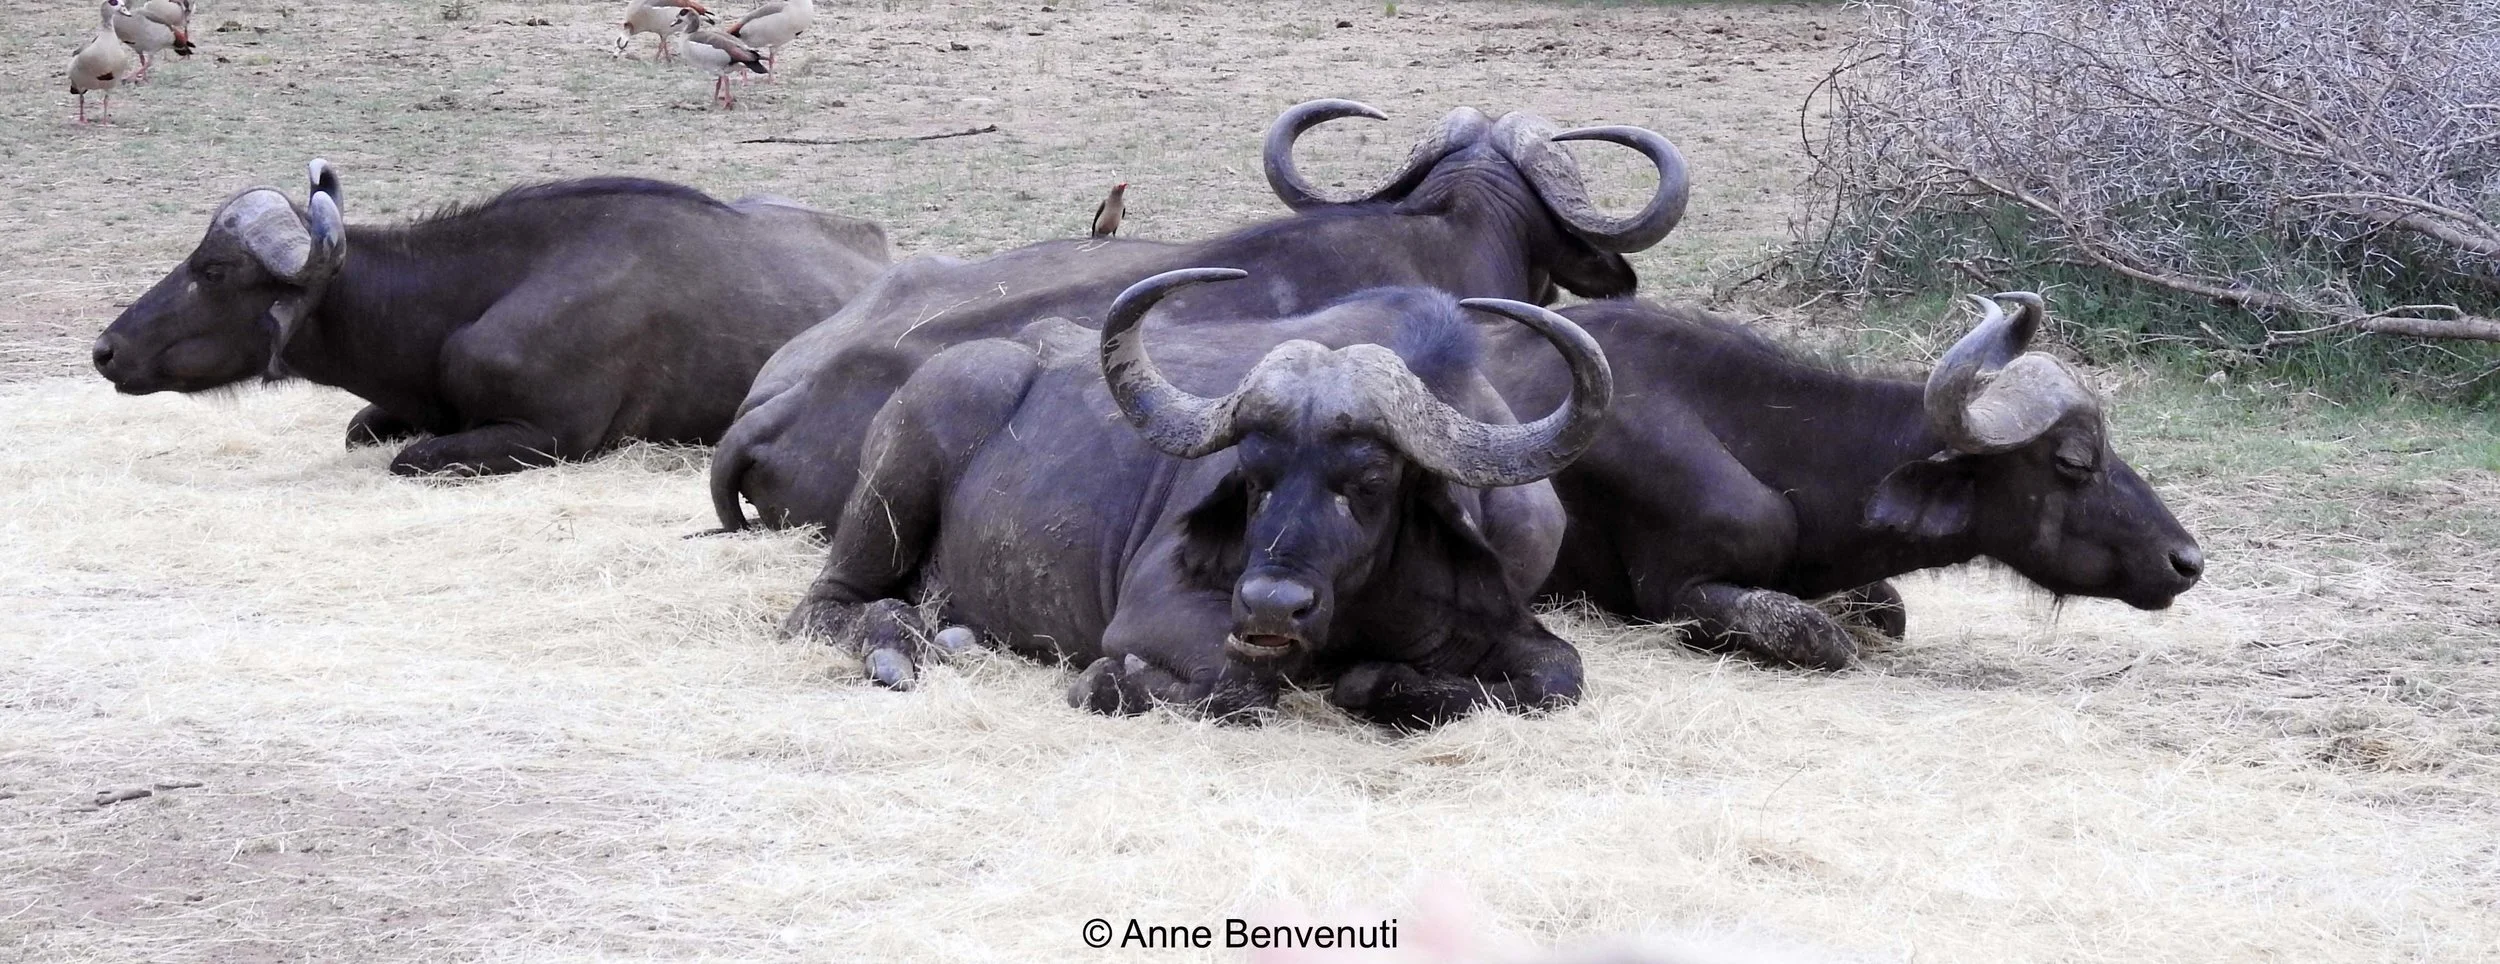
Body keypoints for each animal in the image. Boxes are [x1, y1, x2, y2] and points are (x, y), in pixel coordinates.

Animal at [779, 269, 1614, 727]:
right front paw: (1109, 681)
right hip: (902, 472)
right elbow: (1240, 682)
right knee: (823, 605)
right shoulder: (1154, 614)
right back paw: (895, 645)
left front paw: (1379, 683)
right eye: (1252, 474)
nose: (1272, 606)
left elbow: (1559, 674)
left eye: (1371, 482)